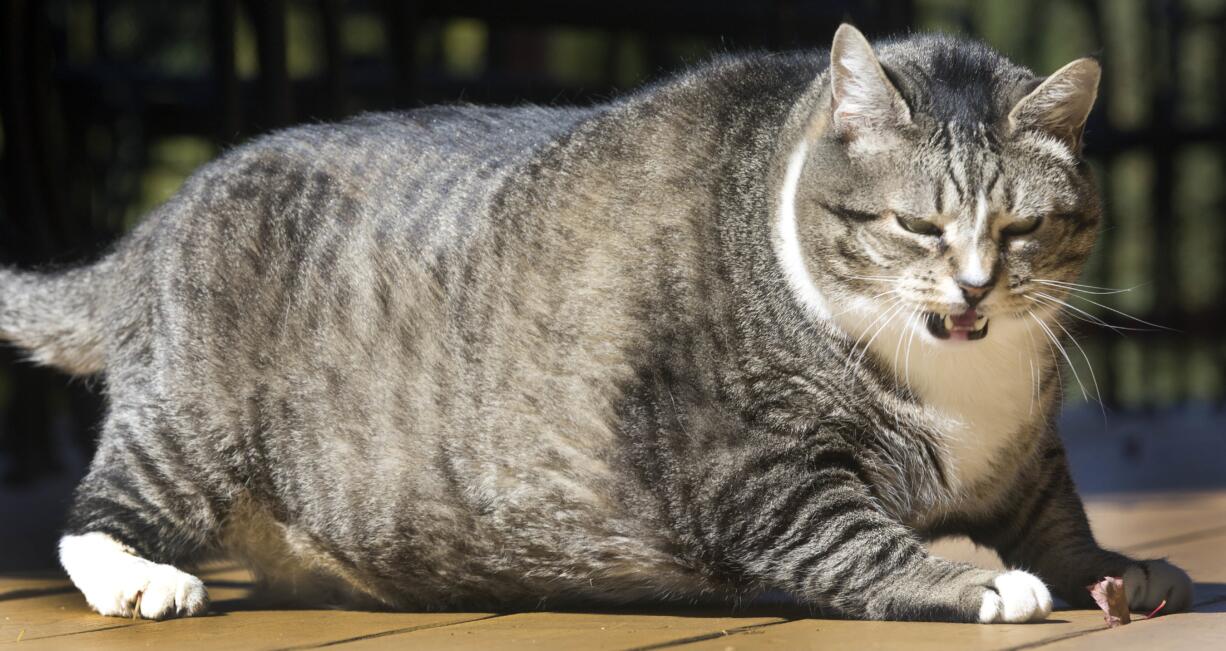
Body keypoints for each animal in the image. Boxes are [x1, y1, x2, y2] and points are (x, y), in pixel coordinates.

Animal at [0, 25, 1191, 625]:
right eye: (917, 224)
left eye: (1022, 228)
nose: (977, 290)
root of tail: (157, 225)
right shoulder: (755, 476)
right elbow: (859, 539)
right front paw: (976, 582)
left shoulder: (1023, 455)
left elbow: (1058, 521)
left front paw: (1120, 569)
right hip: (188, 429)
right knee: (92, 516)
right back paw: (142, 578)